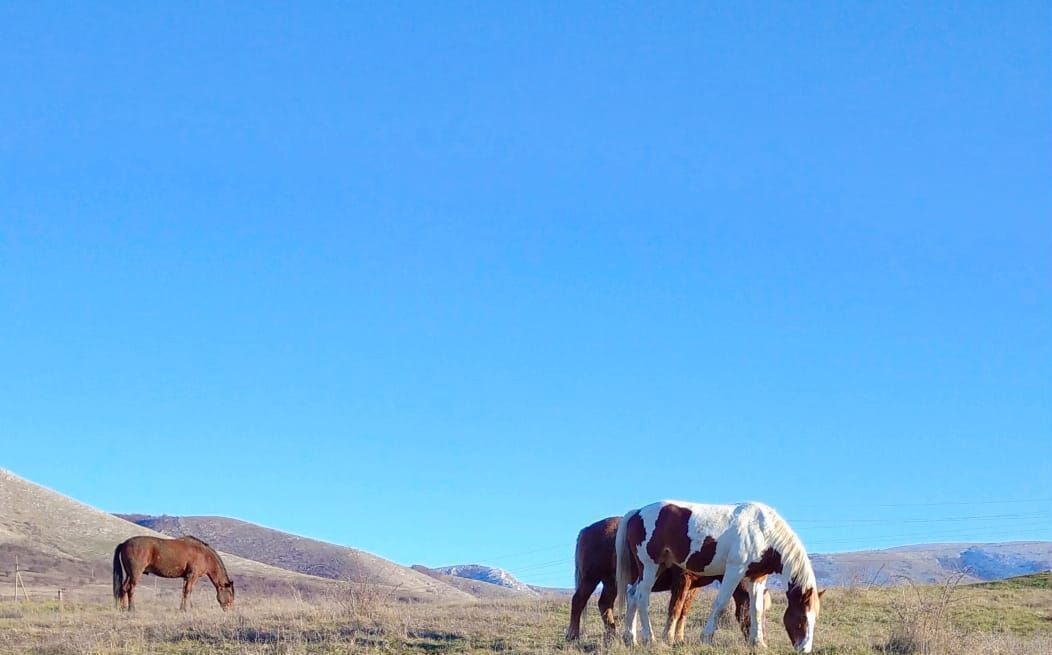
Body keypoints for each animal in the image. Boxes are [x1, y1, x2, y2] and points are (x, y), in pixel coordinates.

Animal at [568, 515, 765, 643]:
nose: (757, 638)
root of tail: (586, 530)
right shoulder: (682, 580)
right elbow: (675, 609)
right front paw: (668, 638)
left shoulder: (693, 587)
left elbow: (683, 611)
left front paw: (678, 638)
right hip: (591, 578)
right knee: (578, 601)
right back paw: (572, 636)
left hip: (611, 582)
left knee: (604, 604)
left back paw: (612, 635)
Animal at [614, 502, 820, 651]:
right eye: (802, 619)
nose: (804, 649)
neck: (762, 531)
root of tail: (637, 513)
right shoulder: (734, 571)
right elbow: (720, 603)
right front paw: (706, 637)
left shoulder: (757, 578)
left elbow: (756, 609)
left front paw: (758, 642)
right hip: (650, 567)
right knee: (641, 598)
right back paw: (650, 639)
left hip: (657, 568)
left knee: (632, 595)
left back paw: (630, 639)